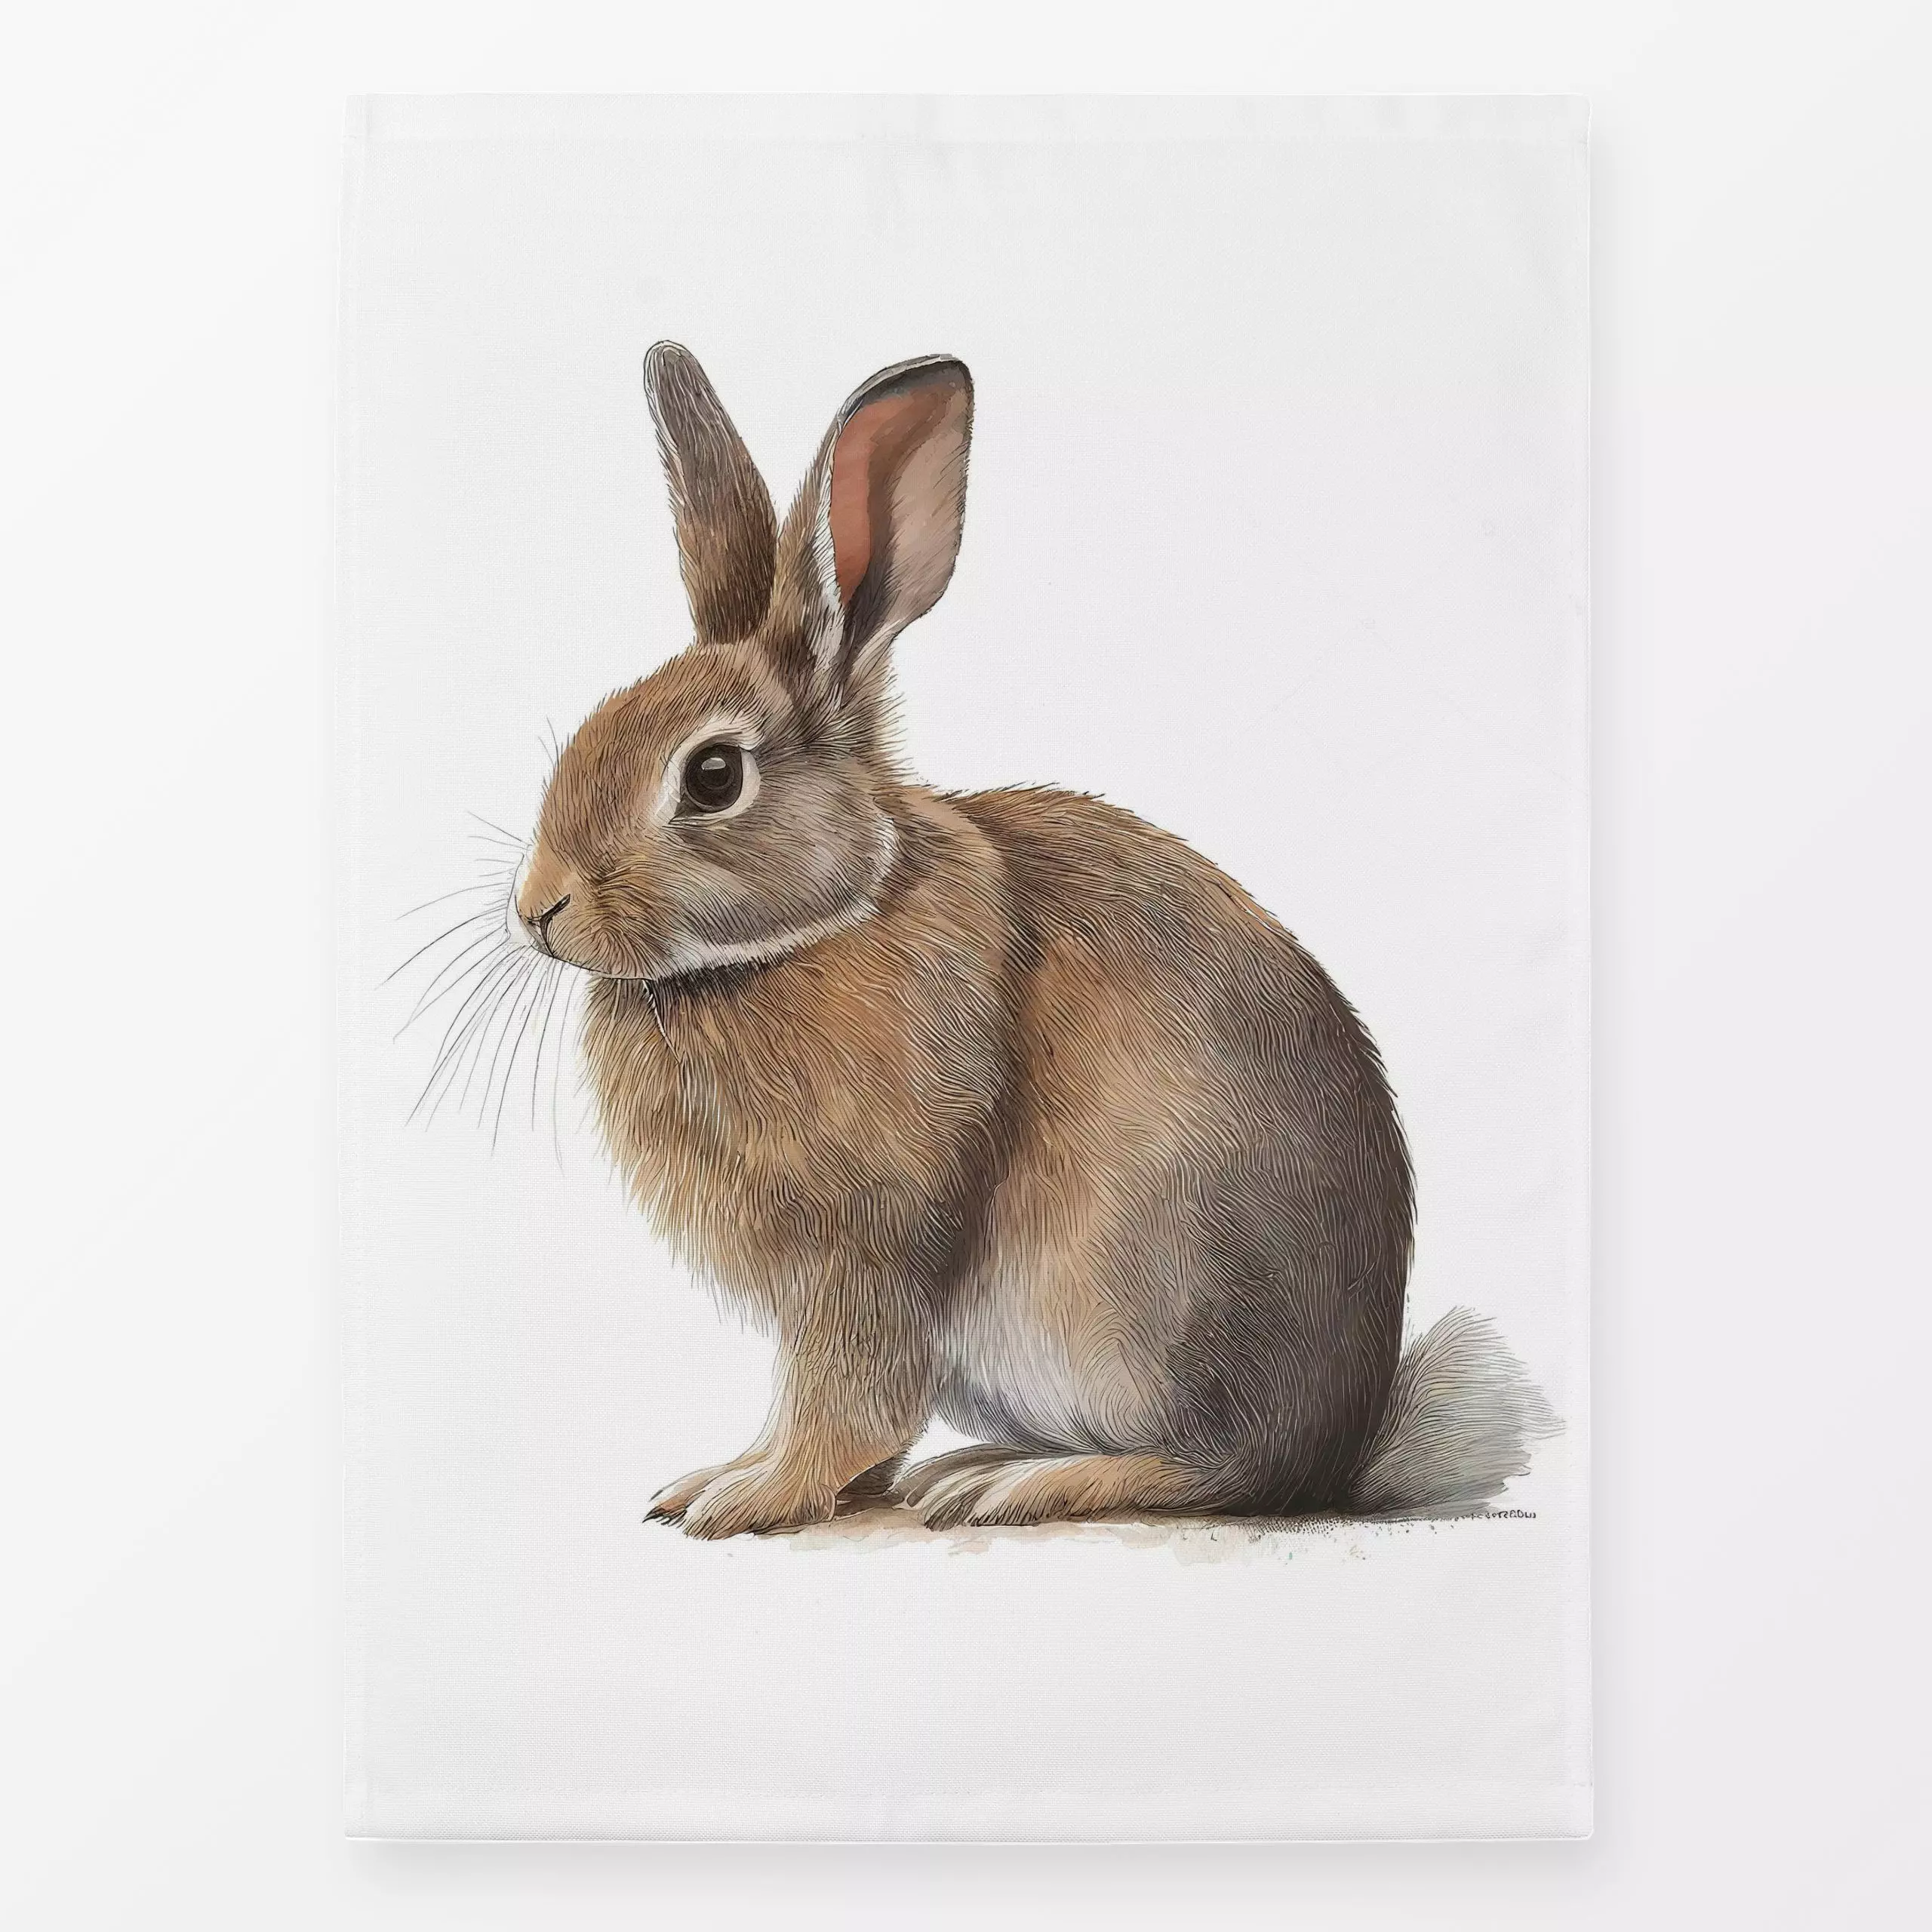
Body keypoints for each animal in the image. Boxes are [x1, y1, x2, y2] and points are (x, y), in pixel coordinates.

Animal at [505, 343, 1550, 1538]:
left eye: (712, 775)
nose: (538, 908)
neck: (816, 926)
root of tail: (1343, 1449)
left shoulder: (863, 1255)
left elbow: (847, 1397)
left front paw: (749, 1495)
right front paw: (718, 1476)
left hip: (1134, 1299)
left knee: (1218, 1471)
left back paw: (1019, 1482)